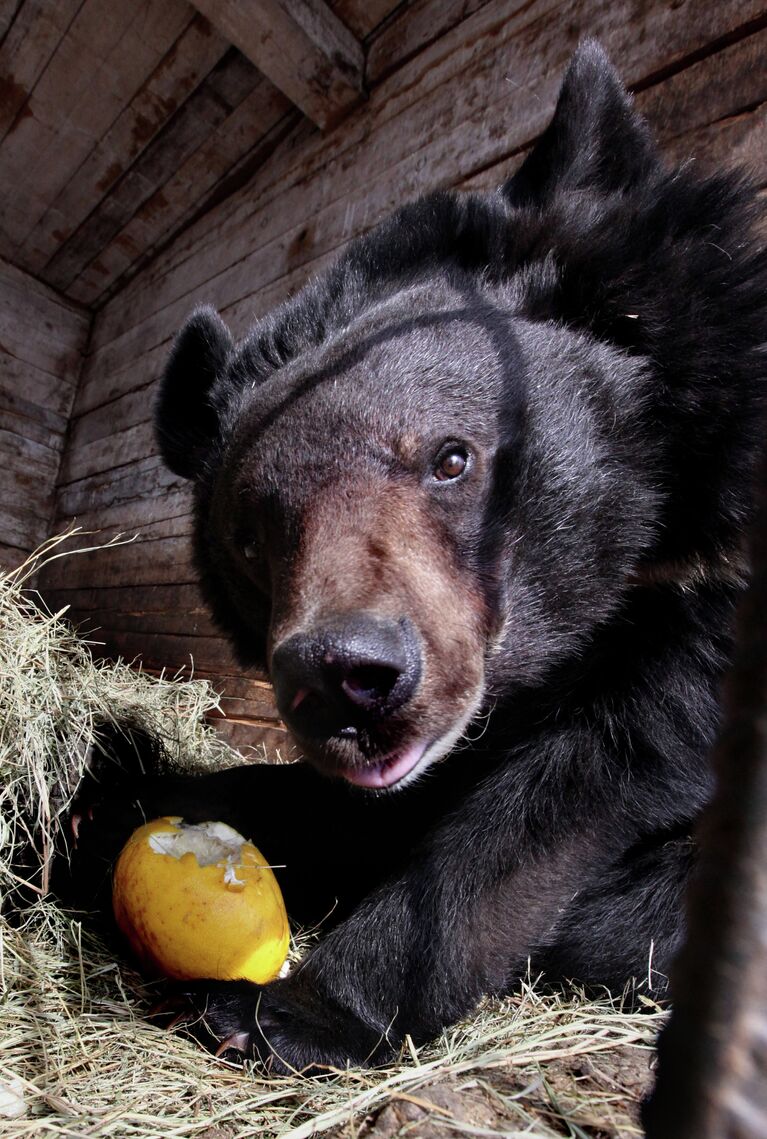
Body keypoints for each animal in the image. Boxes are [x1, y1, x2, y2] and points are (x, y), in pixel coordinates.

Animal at [73, 40, 765, 1070]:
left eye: (450, 458)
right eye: (251, 533)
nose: (343, 678)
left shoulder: (705, 613)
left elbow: (551, 811)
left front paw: (286, 1011)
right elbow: (354, 802)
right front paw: (112, 791)